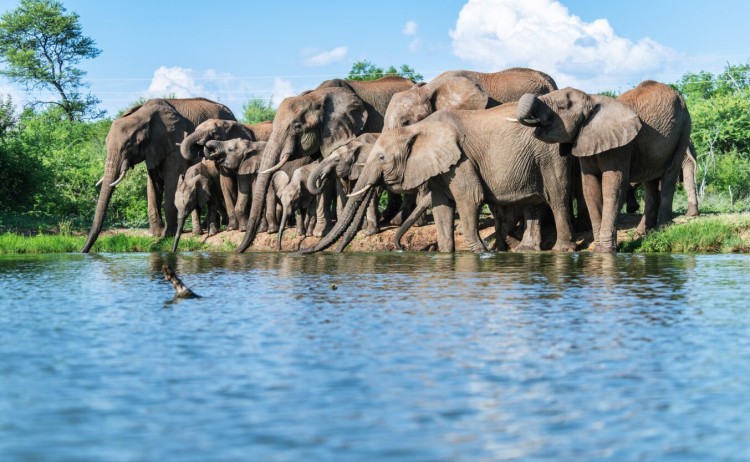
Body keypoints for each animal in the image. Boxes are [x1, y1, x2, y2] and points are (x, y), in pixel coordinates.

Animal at [82, 98, 236, 253]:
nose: (83, 251)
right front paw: (154, 234)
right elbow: (152, 184)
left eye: (129, 146)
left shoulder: (173, 144)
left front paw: (166, 235)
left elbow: (172, 181)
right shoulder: (153, 148)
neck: (142, 115)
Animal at [236, 75, 415, 253]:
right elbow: (328, 177)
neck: (316, 96)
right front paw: (320, 232)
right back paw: (389, 219)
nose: (238, 250)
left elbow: (341, 178)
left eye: (297, 127)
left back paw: (395, 221)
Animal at [301, 103, 576, 254]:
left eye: (381, 158)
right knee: (533, 203)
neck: (416, 129)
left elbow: (470, 199)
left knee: (557, 198)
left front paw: (480, 253)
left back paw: (563, 250)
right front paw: (447, 254)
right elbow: (441, 206)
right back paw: (526, 250)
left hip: (550, 153)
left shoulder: (462, 160)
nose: (302, 250)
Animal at [514, 80, 693, 252]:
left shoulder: (620, 147)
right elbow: (590, 189)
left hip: (684, 127)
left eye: (562, 107)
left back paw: (662, 228)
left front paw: (606, 251)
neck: (592, 101)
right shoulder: (585, 141)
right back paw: (643, 233)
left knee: (670, 174)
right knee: (649, 182)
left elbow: (612, 189)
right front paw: (599, 250)